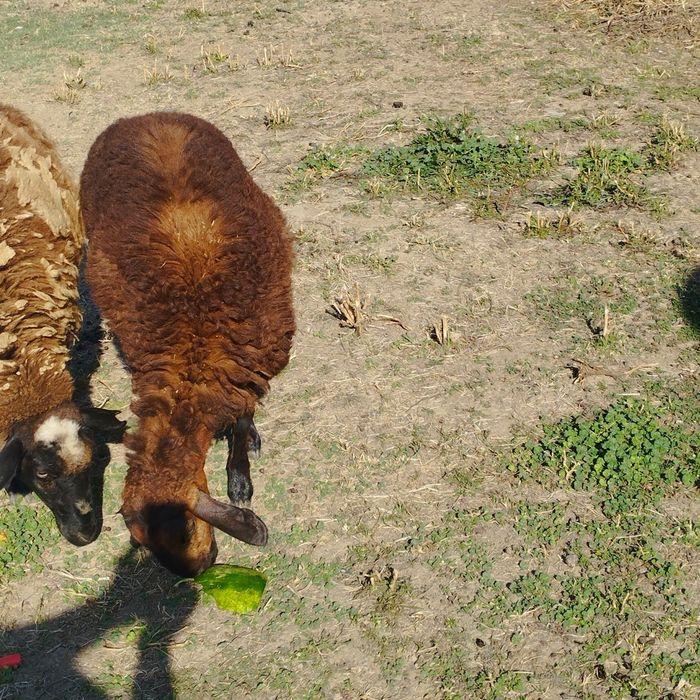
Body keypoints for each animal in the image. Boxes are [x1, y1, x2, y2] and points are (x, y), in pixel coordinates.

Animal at [81, 111, 295, 576]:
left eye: (187, 529)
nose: (202, 570)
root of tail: (145, 116)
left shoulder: (251, 356)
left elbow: (243, 416)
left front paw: (240, 475)